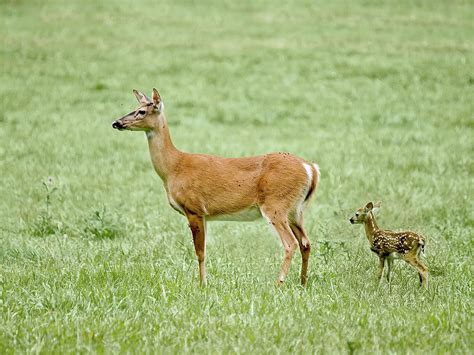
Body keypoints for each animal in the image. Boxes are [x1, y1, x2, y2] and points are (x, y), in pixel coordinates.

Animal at [111, 89, 320, 286]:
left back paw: (279, 283)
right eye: (135, 107)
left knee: (290, 243)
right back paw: (302, 282)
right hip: (295, 210)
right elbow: (203, 250)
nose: (116, 123)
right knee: (305, 242)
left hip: (275, 205)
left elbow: (199, 252)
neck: (173, 167)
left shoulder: (193, 208)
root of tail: (311, 169)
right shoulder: (203, 215)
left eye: (141, 111)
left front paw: (202, 285)